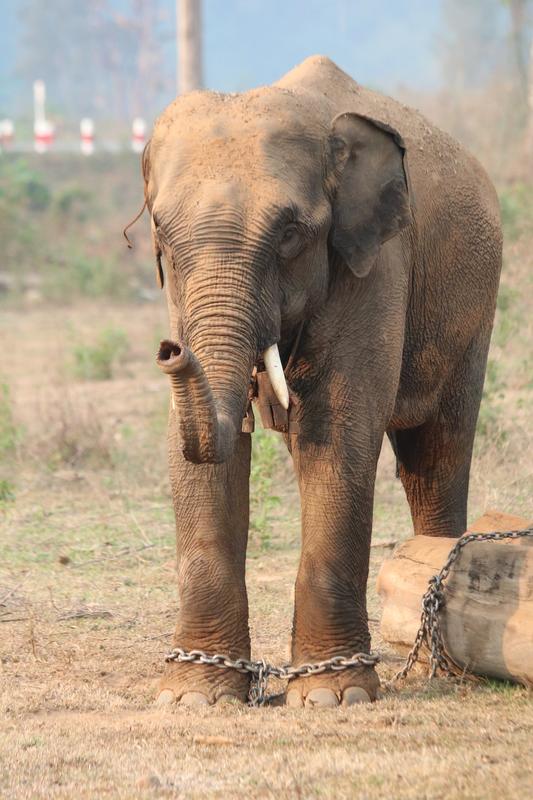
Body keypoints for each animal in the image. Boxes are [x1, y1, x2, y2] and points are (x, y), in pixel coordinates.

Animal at [139, 56, 500, 708]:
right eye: (163, 235)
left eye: (288, 234)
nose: (169, 349)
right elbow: (200, 451)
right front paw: (194, 698)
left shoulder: (374, 261)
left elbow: (340, 431)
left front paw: (336, 696)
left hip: (472, 305)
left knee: (437, 448)